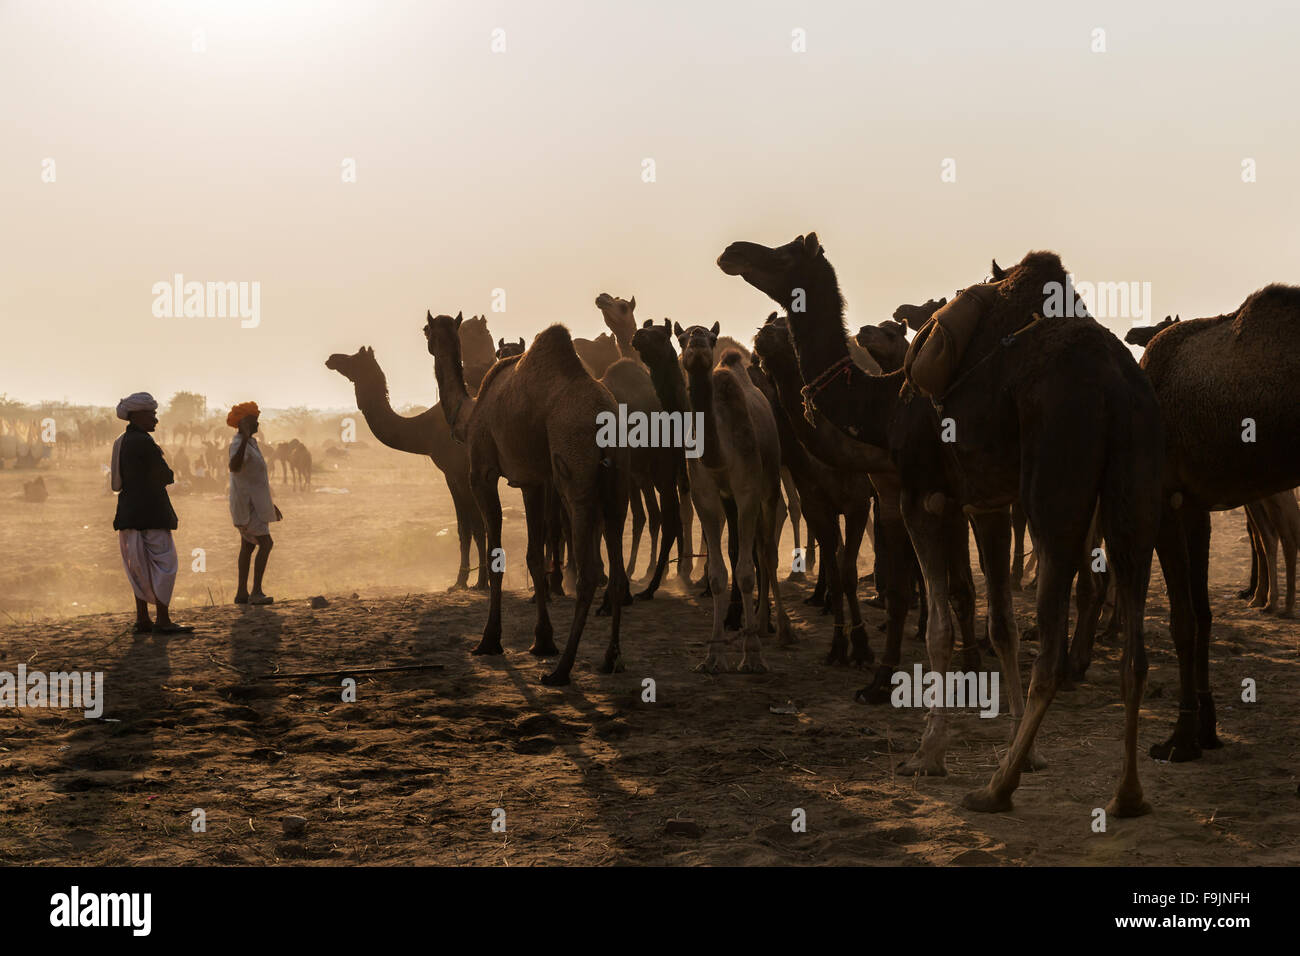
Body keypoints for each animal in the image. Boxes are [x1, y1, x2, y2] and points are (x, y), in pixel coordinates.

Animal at [325, 345, 488, 590]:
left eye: (354, 358)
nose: (332, 358)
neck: (424, 432)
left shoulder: (462, 472)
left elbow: (478, 525)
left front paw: (481, 582)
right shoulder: (451, 475)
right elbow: (464, 527)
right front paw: (459, 582)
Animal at [426, 310, 629, 686]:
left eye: (425, 330)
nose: (431, 341)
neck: (469, 415)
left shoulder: (483, 473)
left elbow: (496, 554)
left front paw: (489, 641)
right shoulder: (534, 481)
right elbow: (534, 556)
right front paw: (542, 641)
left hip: (576, 469)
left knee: (589, 572)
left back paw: (561, 671)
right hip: (618, 480)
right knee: (617, 563)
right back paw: (611, 659)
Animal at [670, 319, 790, 665]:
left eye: (711, 338)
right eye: (681, 338)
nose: (698, 342)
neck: (720, 454)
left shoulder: (748, 490)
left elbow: (747, 571)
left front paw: (752, 655)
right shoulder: (706, 496)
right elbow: (717, 575)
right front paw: (713, 653)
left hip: (770, 482)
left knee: (767, 550)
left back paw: (777, 629)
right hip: (731, 501)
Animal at [717, 234, 1164, 816]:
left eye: (784, 252)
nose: (733, 252)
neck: (884, 403)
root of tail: (1117, 384)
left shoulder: (922, 497)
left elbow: (938, 630)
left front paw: (927, 755)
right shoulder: (987, 503)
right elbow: (1002, 626)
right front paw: (1028, 752)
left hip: (1054, 495)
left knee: (1052, 648)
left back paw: (996, 789)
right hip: (1132, 493)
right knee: (1135, 654)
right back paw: (1127, 794)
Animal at [1138, 286, 1300, 764]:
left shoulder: (1165, 500)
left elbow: (1183, 620)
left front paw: (1180, 738)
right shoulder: (1195, 505)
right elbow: (1204, 614)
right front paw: (1206, 730)